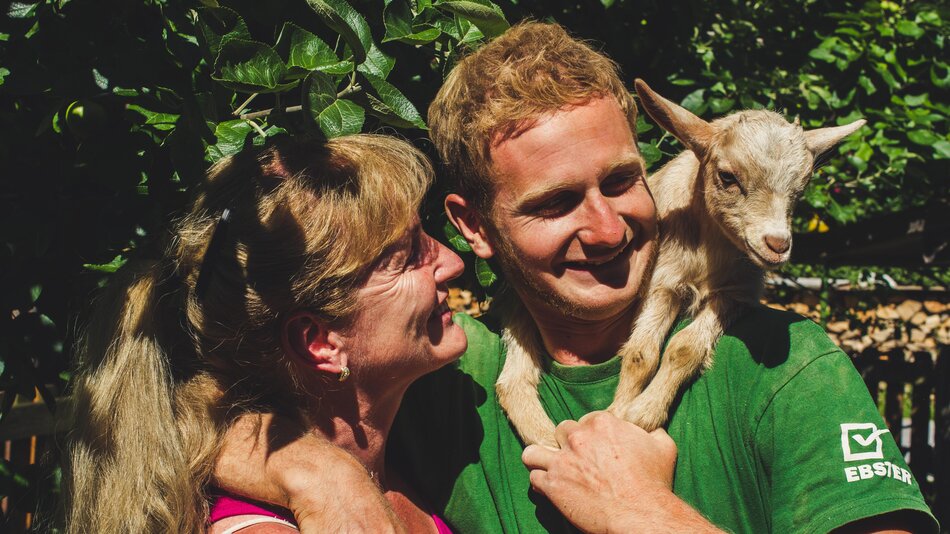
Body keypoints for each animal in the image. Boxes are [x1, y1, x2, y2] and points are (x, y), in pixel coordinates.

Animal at [498, 80, 872, 448]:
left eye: (802, 187)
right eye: (727, 176)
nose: (777, 245)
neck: (709, 257)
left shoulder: (736, 292)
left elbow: (684, 347)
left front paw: (643, 412)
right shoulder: (663, 280)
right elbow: (640, 353)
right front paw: (621, 411)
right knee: (512, 378)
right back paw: (542, 435)